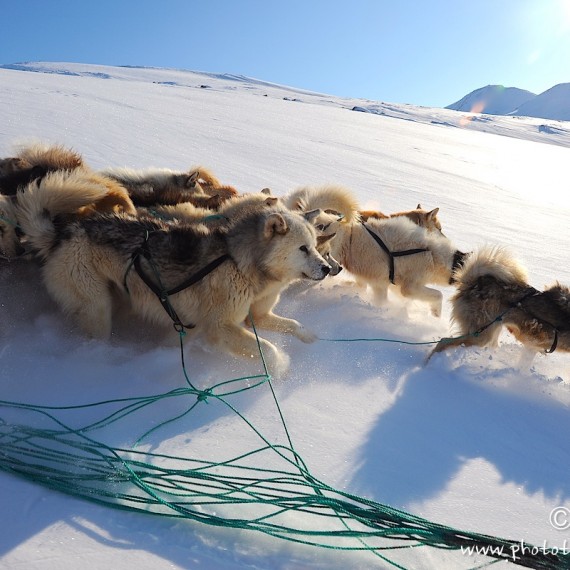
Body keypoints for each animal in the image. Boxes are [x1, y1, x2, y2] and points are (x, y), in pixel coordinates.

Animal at [15, 183, 330, 378]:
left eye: (315, 246)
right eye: (303, 249)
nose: (327, 269)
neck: (242, 263)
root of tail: (62, 233)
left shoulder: (257, 315)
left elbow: (293, 325)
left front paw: (312, 338)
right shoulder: (220, 327)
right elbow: (269, 350)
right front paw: (280, 370)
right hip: (98, 308)